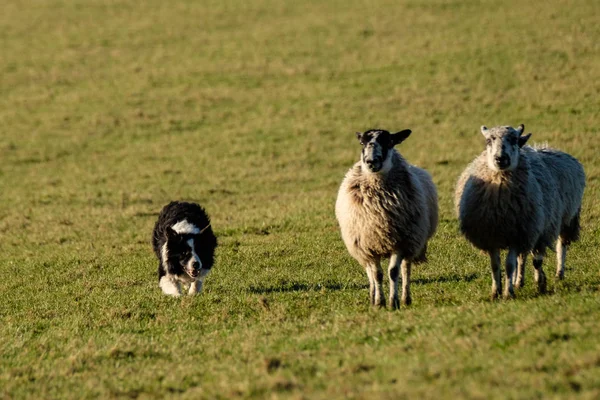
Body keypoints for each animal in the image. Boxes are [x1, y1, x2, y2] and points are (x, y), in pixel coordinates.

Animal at [336, 129, 438, 310]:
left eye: (389, 141)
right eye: (362, 143)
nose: (371, 161)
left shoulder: (400, 242)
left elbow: (393, 272)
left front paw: (393, 302)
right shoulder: (369, 246)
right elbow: (377, 274)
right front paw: (379, 302)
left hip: (411, 242)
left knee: (405, 269)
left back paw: (406, 298)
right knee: (370, 272)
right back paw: (372, 296)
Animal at [458, 123, 584, 298]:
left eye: (514, 140)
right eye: (489, 140)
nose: (500, 158)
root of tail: (542, 147)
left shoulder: (517, 235)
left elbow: (510, 265)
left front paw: (508, 293)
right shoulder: (493, 236)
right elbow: (496, 265)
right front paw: (496, 292)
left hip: (564, 219)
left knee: (558, 247)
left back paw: (556, 275)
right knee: (524, 256)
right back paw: (520, 281)